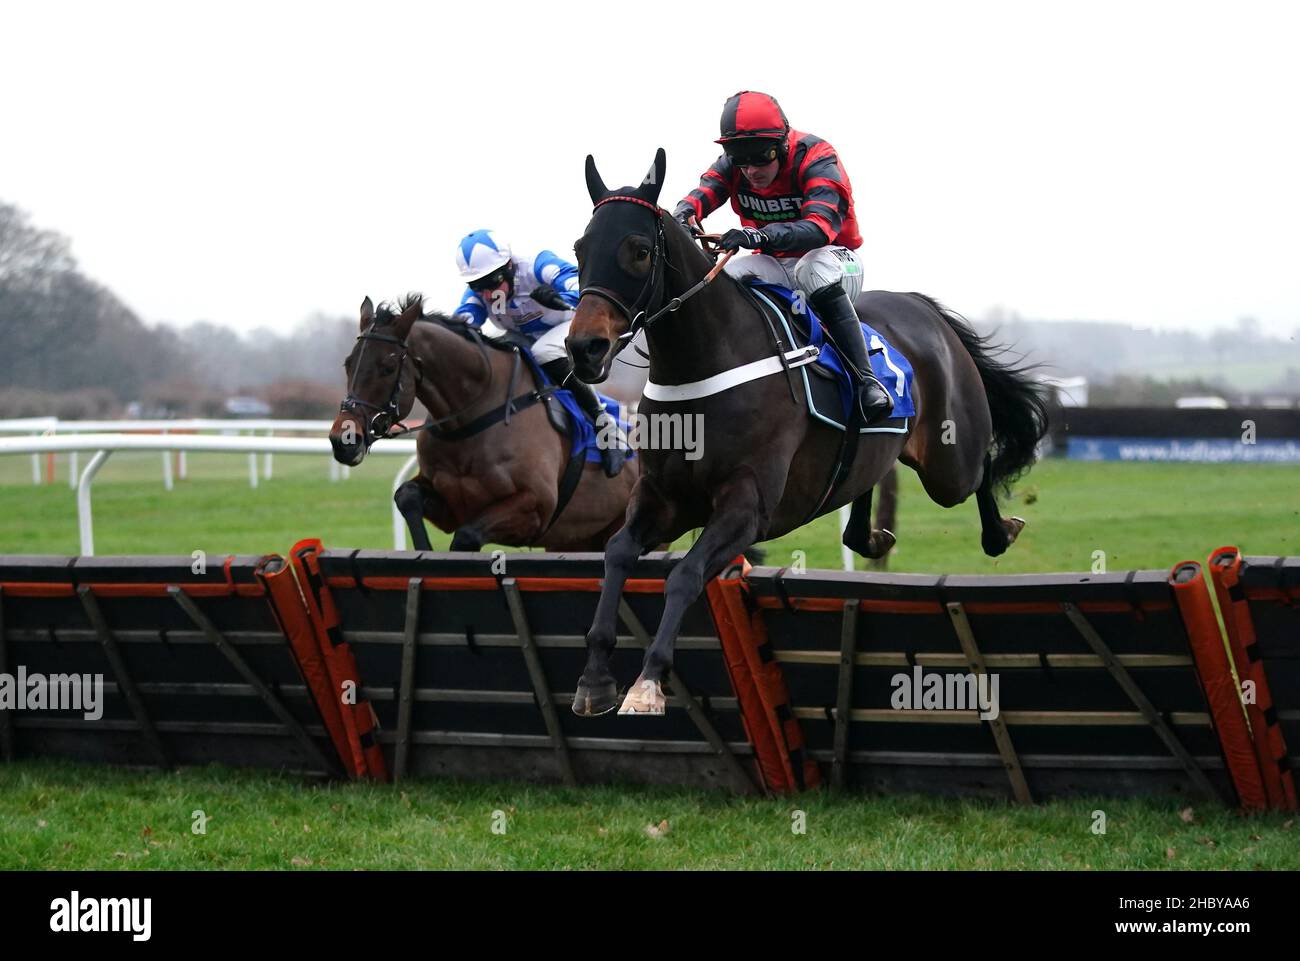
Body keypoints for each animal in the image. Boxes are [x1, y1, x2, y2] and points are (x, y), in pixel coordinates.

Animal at [330, 295, 639, 548]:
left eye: (388, 367)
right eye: (347, 364)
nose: (343, 440)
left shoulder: (535, 505)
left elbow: (466, 536)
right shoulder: (451, 507)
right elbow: (405, 495)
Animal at [566, 150, 1045, 717]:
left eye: (639, 251)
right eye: (579, 249)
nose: (584, 348)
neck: (706, 359)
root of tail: (922, 307)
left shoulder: (747, 508)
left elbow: (685, 576)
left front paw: (647, 683)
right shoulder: (663, 497)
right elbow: (618, 552)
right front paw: (594, 678)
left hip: (949, 462)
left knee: (980, 467)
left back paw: (1001, 531)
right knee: (865, 480)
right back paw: (871, 535)